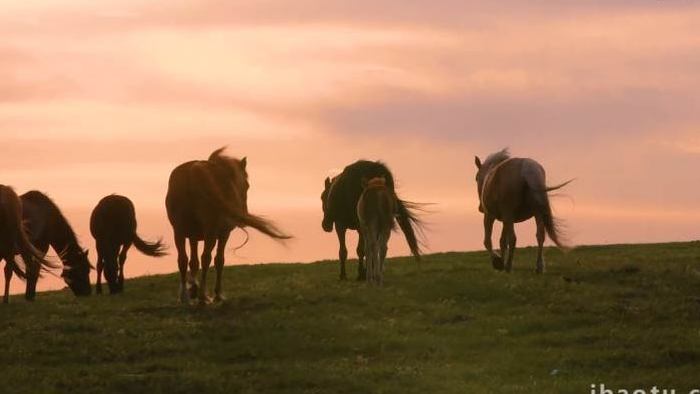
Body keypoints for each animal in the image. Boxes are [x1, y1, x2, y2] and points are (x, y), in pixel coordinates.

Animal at [165, 148, 292, 304]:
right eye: (247, 186)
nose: (243, 217)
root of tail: (194, 171)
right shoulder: (223, 234)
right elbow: (219, 260)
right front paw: (216, 294)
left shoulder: (193, 237)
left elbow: (193, 263)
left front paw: (193, 289)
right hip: (210, 233)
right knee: (206, 258)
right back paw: (202, 296)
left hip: (179, 232)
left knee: (182, 260)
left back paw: (185, 296)